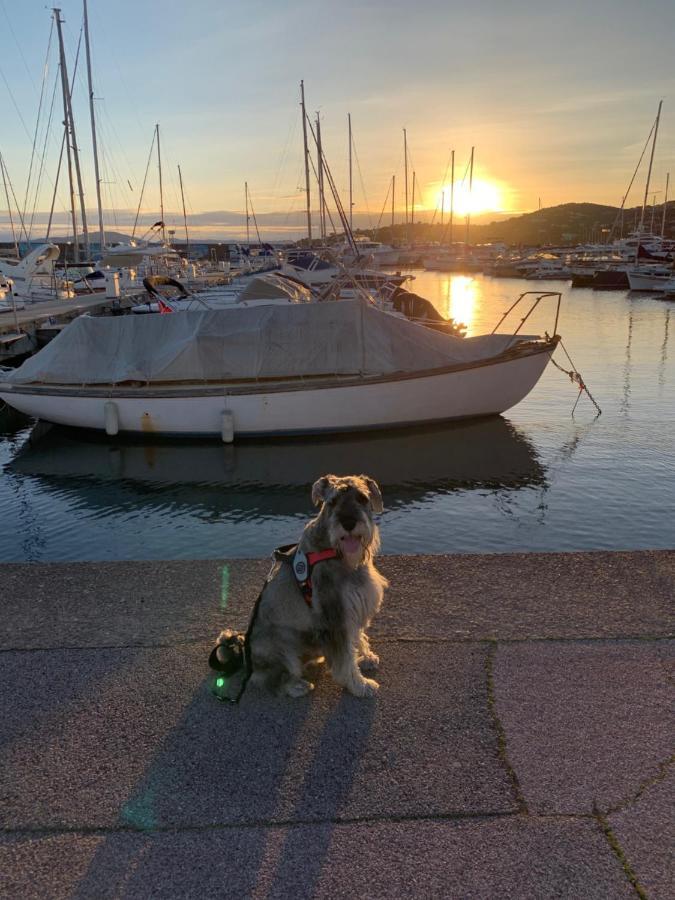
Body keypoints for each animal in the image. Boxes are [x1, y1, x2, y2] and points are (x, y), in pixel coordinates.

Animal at [214, 474, 388, 700]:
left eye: (362, 498)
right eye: (332, 502)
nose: (349, 523)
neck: (340, 554)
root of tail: (246, 657)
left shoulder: (355, 607)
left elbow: (356, 637)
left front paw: (366, 656)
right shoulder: (335, 616)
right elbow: (344, 659)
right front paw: (360, 685)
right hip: (281, 645)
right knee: (270, 678)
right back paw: (295, 686)